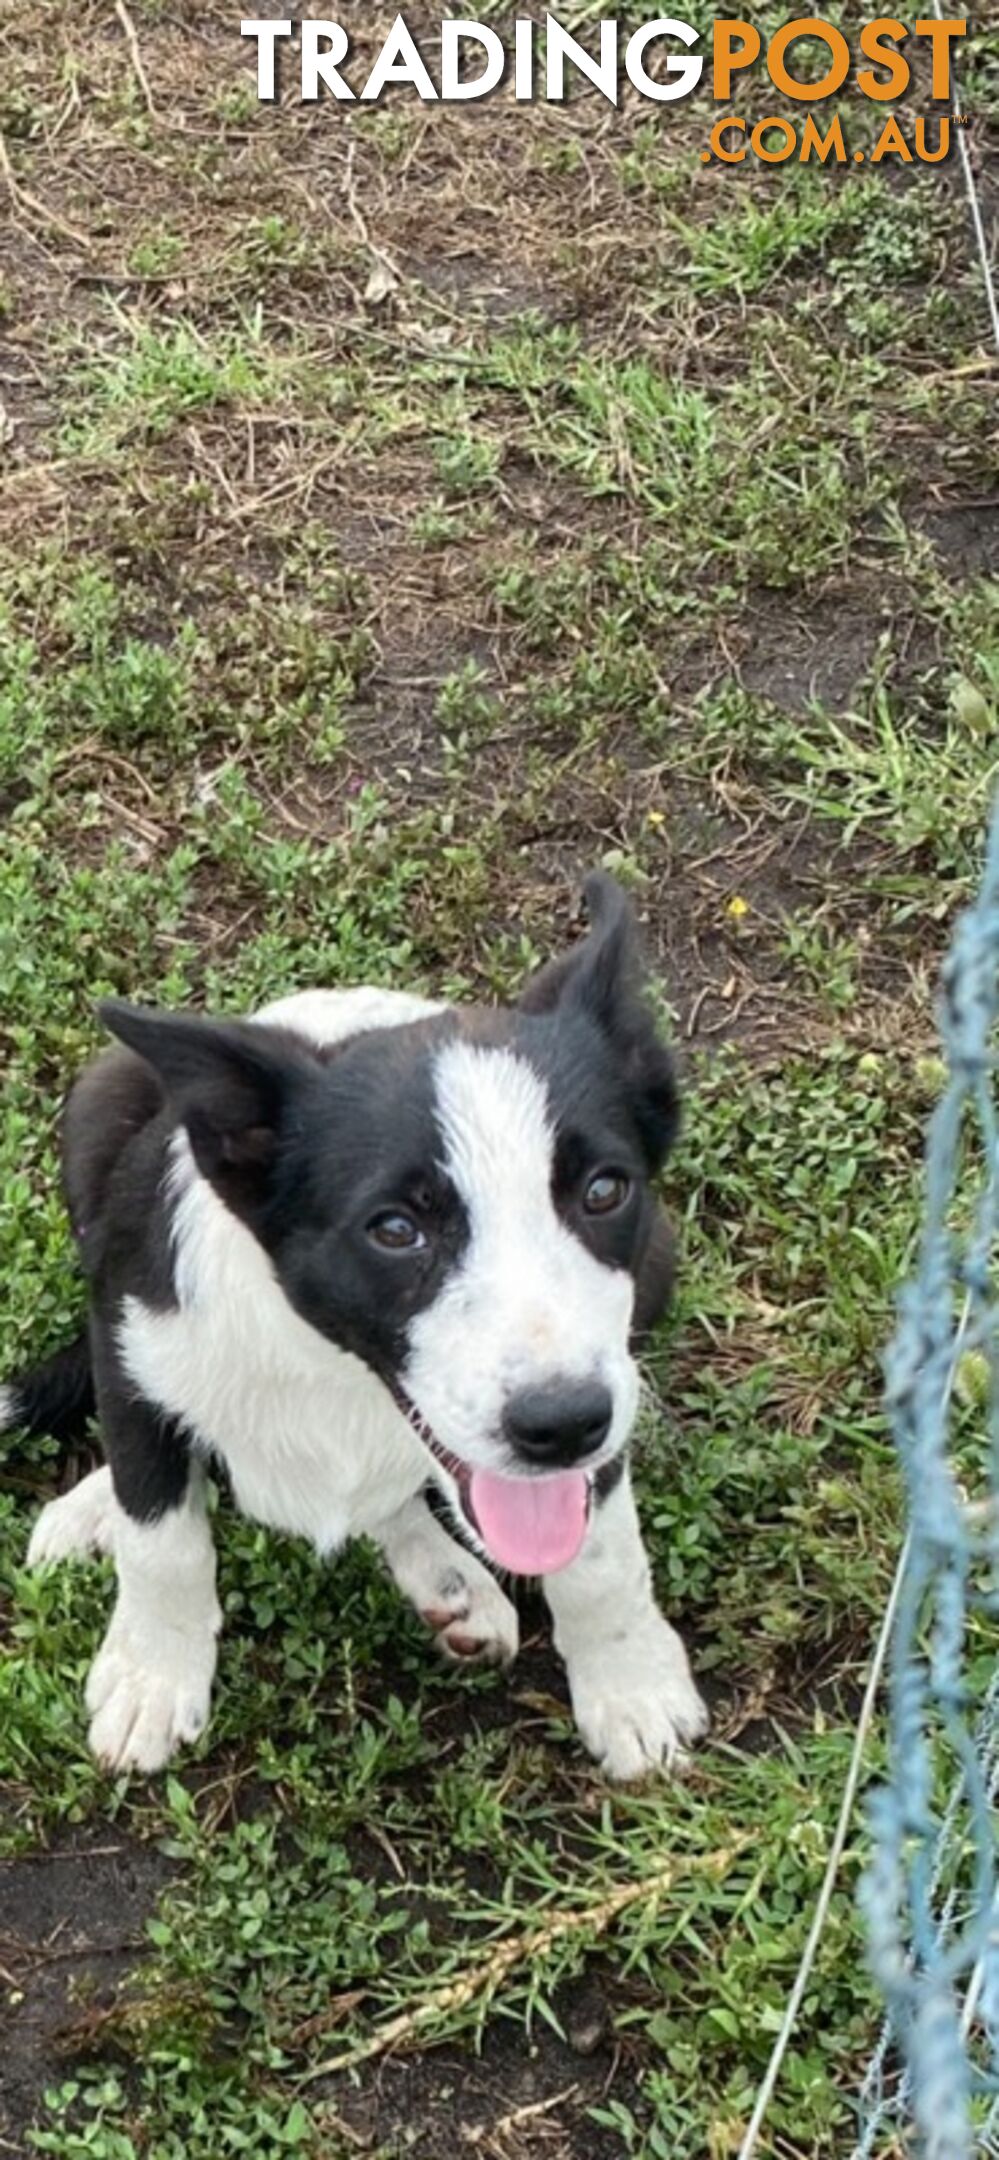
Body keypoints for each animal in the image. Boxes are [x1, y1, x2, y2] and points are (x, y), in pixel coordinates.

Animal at [1, 868, 700, 1779]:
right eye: (395, 1230)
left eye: (604, 1190)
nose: (561, 1425)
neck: (334, 1366)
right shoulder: (134, 1336)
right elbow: (161, 1530)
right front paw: (153, 1673)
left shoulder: (607, 1384)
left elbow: (603, 1550)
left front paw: (629, 1681)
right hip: (100, 1101)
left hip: (657, 1263)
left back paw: (451, 1583)